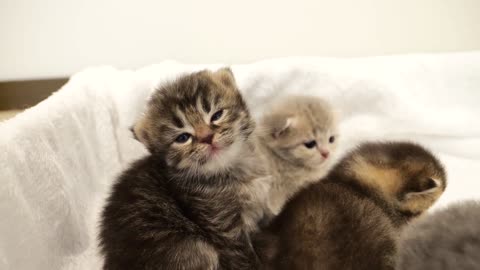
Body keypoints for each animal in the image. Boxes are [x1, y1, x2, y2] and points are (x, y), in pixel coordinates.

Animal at [100, 68, 266, 270]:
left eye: (217, 115)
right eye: (183, 138)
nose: (207, 137)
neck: (228, 169)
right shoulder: (222, 227)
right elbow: (243, 258)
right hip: (194, 248)